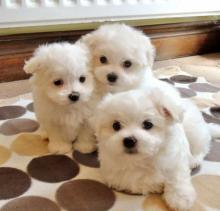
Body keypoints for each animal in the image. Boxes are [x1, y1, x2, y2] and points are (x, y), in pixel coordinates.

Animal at [81, 23, 212, 168]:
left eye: (127, 63)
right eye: (102, 59)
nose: (111, 76)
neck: (115, 89)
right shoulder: (93, 107)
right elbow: (88, 125)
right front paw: (85, 145)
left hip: (192, 131)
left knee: (201, 147)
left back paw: (194, 160)